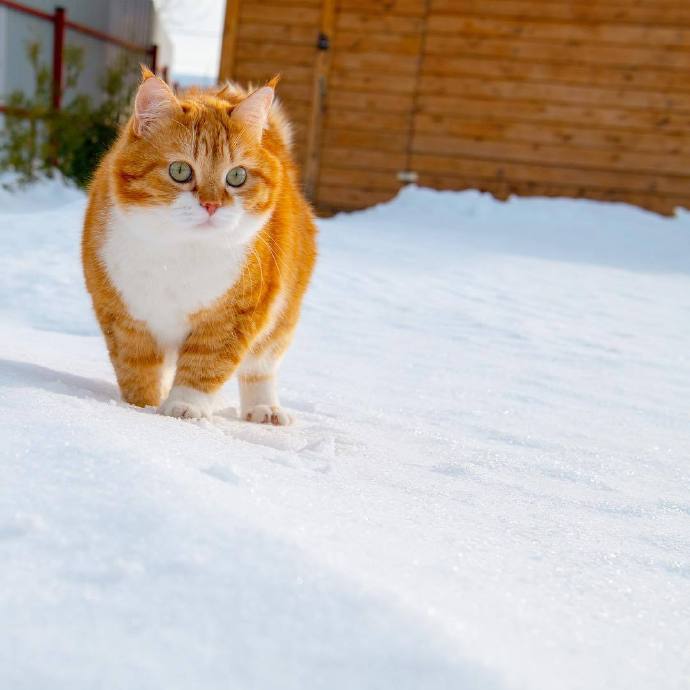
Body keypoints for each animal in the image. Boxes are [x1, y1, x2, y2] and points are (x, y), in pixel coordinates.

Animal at [82, 71, 316, 424]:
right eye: (180, 170)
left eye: (237, 176)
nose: (211, 205)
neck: (180, 252)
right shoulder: (123, 316)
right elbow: (136, 368)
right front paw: (140, 409)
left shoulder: (233, 317)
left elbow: (206, 363)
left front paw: (184, 407)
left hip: (281, 317)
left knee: (260, 366)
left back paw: (264, 409)